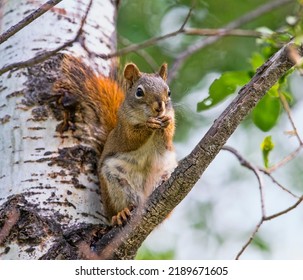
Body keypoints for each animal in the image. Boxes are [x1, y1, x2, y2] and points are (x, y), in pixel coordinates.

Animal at [53, 54, 177, 225]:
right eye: (139, 92)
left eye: (169, 92)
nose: (159, 107)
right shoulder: (123, 130)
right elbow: (132, 138)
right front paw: (149, 125)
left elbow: (168, 138)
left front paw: (165, 122)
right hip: (114, 182)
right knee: (120, 207)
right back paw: (120, 214)